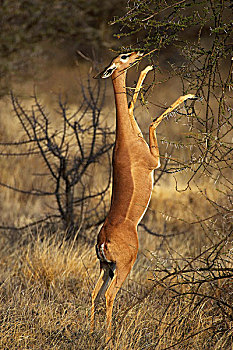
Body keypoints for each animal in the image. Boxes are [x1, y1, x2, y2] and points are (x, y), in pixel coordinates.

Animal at [91, 52, 195, 342]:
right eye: (123, 56)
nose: (138, 53)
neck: (126, 139)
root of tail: (103, 240)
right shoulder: (154, 161)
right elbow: (151, 120)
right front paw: (190, 95)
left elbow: (130, 103)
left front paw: (147, 69)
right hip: (123, 267)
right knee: (109, 296)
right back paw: (108, 338)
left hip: (105, 268)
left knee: (93, 294)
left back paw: (90, 332)